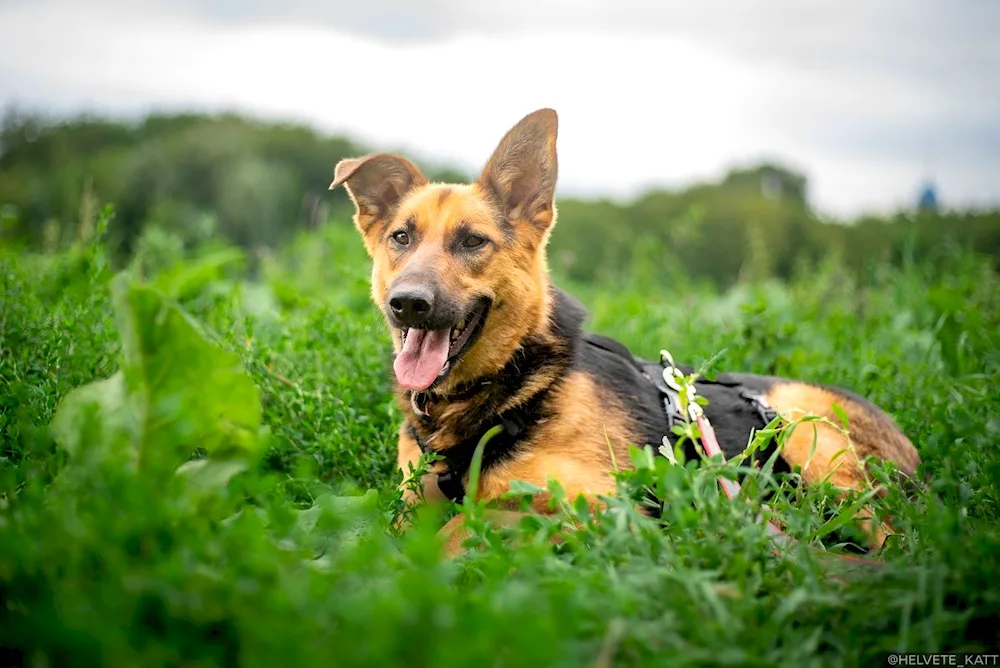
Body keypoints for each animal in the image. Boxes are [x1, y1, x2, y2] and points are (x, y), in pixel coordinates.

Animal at [330, 109, 920, 560]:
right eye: (401, 238)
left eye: (473, 241)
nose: (408, 302)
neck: (506, 388)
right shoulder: (413, 503)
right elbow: (383, 530)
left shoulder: (592, 502)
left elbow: (463, 524)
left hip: (810, 436)